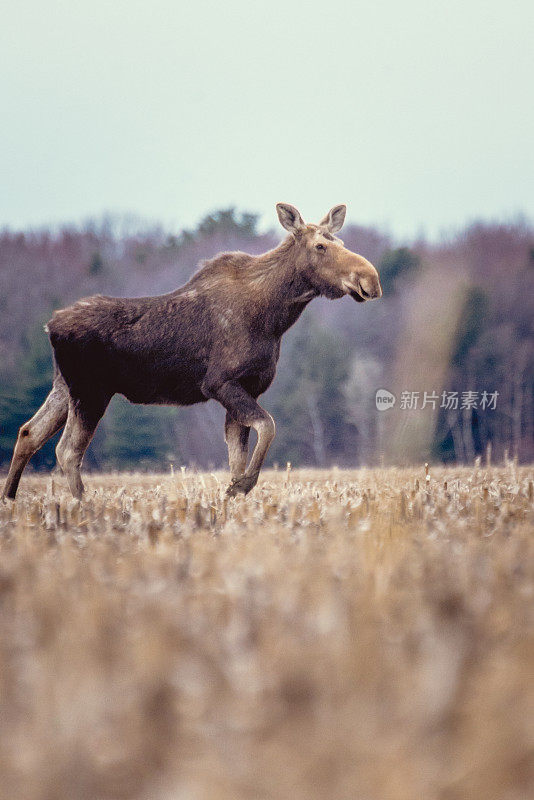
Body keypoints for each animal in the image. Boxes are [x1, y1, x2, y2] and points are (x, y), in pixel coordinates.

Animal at [2, 203, 384, 500]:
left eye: (341, 241)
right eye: (320, 246)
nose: (371, 280)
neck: (275, 316)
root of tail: (51, 326)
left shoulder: (248, 387)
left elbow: (238, 454)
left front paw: (235, 495)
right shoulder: (219, 383)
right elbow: (269, 426)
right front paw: (241, 487)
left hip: (64, 387)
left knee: (28, 433)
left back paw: (11, 500)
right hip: (91, 391)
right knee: (67, 451)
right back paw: (84, 506)